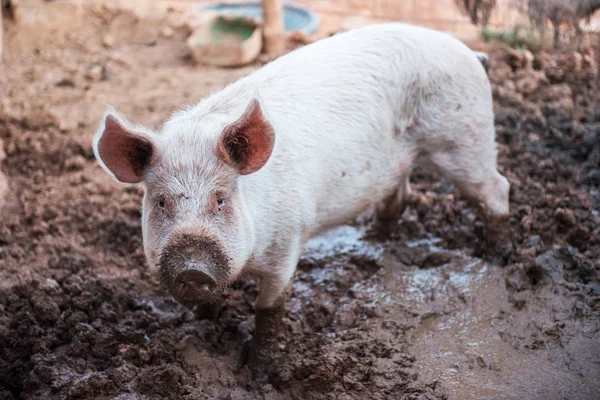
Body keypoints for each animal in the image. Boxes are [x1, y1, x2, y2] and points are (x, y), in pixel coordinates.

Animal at [92, 22, 510, 378]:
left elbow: (269, 309)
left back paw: (496, 256)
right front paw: (203, 325)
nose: (192, 268)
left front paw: (257, 373)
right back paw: (373, 241)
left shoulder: (288, 241)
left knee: (497, 188)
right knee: (400, 193)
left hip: (464, 137)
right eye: (161, 202)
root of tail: (470, 53)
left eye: (221, 200)